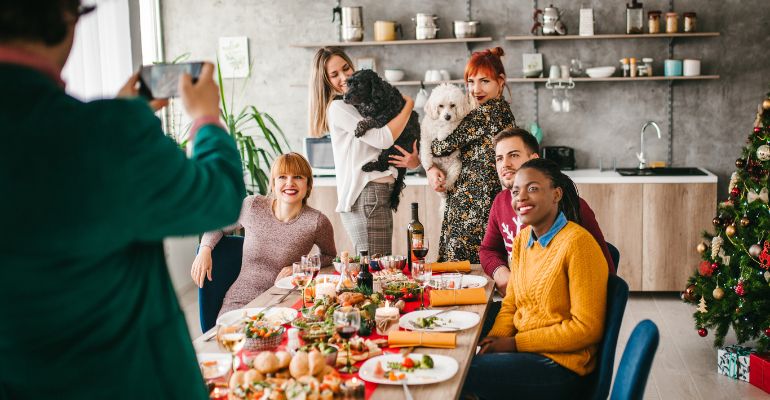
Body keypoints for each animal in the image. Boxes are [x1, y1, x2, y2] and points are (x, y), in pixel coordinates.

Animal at [344, 69, 420, 212]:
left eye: (359, 85)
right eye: (348, 84)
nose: (344, 97)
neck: (376, 97)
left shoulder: (382, 120)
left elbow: (368, 120)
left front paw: (360, 128)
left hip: (390, 149)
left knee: (383, 165)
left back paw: (368, 166)